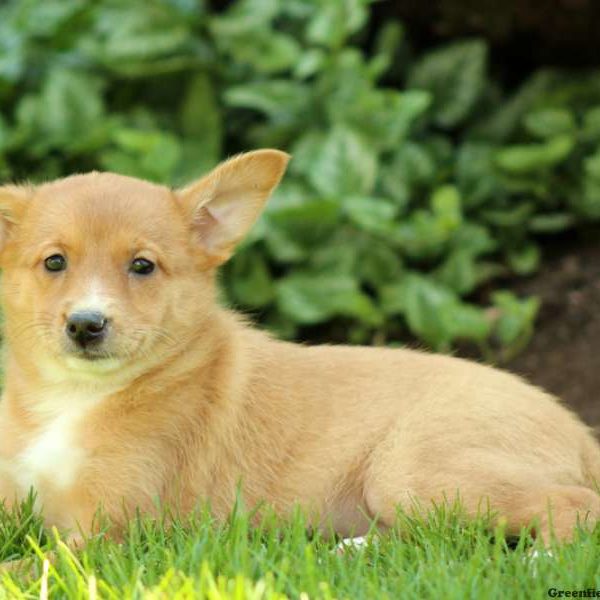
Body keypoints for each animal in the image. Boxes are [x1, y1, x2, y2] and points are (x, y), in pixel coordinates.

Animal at [0, 149, 596, 544]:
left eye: (143, 266)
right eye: (55, 262)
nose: (86, 325)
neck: (74, 397)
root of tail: (579, 430)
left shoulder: (106, 531)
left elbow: (30, 565)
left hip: (412, 470)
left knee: (574, 508)